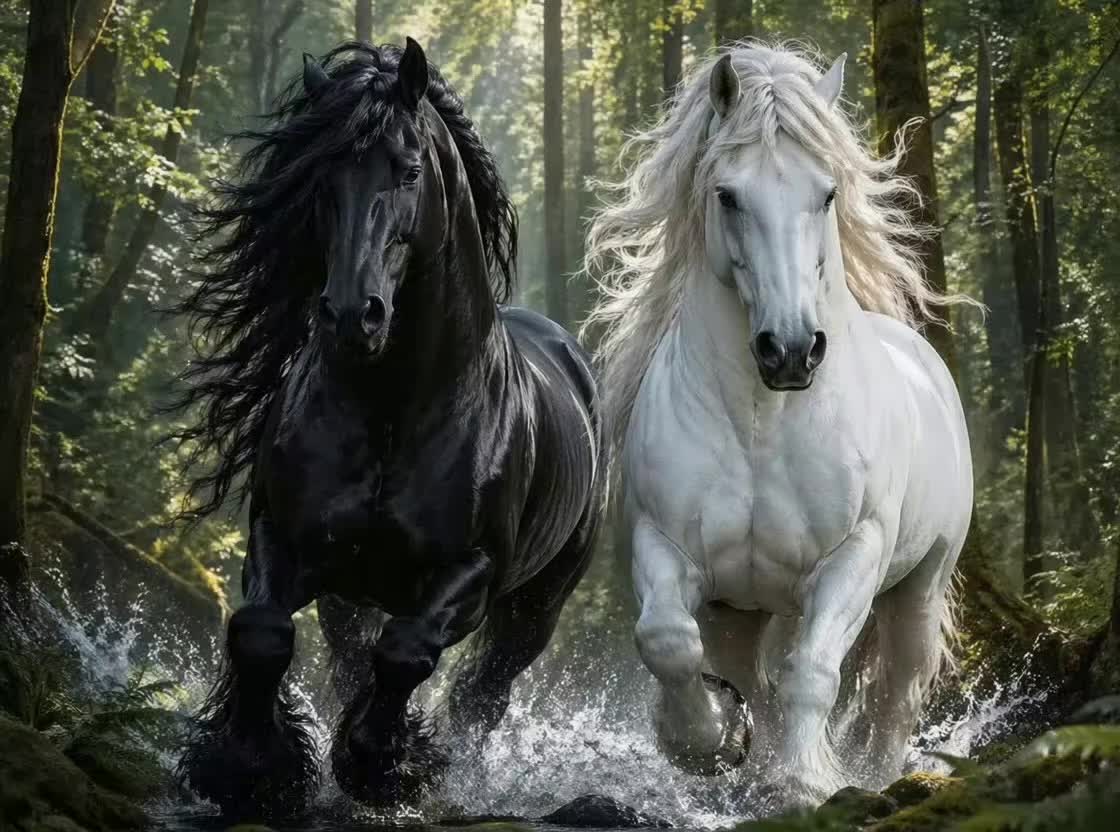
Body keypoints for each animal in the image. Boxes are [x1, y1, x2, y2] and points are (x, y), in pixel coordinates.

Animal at [172, 39, 606, 819]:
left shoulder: (469, 573)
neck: (393, 407)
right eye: (322, 175)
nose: (353, 315)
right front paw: (252, 767)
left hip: (535, 610)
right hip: (349, 598)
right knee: (352, 660)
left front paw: (387, 767)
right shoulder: (285, 539)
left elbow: (405, 654)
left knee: (481, 695)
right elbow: (261, 635)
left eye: (408, 169)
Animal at [583, 43, 972, 806]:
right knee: (748, 672)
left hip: (919, 588)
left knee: (897, 693)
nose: (790, 351)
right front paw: (703, 742)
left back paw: (876, 778)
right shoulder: (664, 547)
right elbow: (668, 640)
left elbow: (812, 672)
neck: (764, 424)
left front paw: (805, 782)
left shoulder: (853, 557)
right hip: (741, 606)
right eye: (727, 195)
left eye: (826, 194)